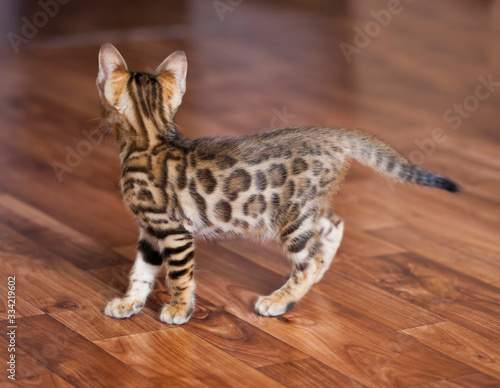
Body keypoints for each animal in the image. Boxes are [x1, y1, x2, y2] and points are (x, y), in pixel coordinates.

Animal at [98, 43, 460, 324]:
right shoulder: (150, 229)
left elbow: (179, 276)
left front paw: (178, 309)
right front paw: (130, 302)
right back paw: (318, 272)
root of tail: (328, 134)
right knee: (333, 227)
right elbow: (141, 270)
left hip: (292, 219)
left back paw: (280, 300)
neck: (150, 137)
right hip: (303, 210)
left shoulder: (174, 232)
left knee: (308, 261)